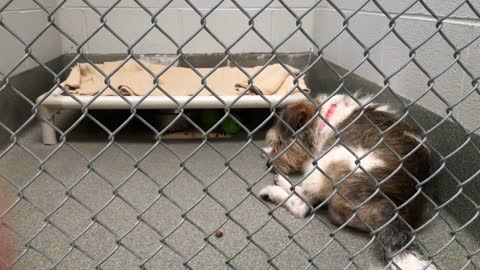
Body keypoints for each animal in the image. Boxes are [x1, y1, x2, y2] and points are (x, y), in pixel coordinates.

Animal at [260, 94, 436, 268]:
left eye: (280, 142)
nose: (268, 164)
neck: (325, 117)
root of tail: (388, 203)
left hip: (331, 161)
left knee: (302, 205)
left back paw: (276, 189)